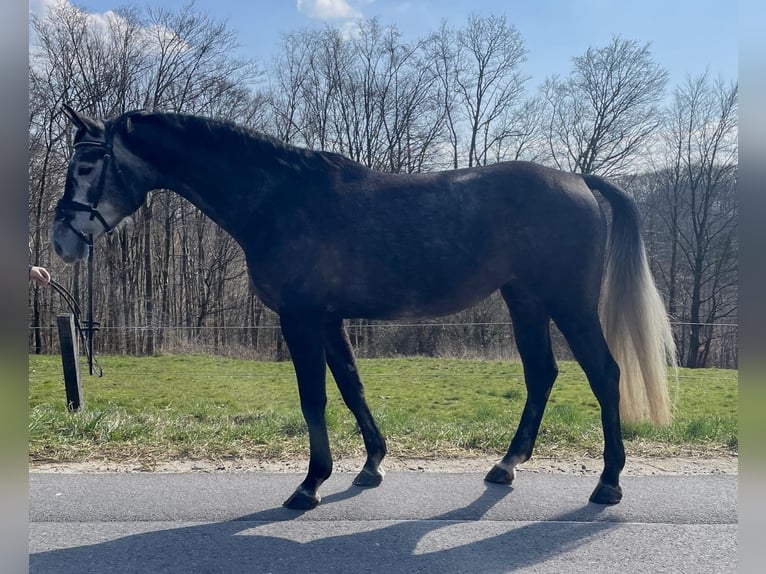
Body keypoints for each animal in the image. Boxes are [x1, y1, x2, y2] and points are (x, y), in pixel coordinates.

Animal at [52, 106, 680, 510]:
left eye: (84, 166)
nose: (61, 239)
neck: (278, 198)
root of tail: (579, 180)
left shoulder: (301, 320)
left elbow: (315, 399)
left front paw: (310, 485)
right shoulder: (328, 320)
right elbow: (352, 387)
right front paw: (371, 464)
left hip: (568, 303)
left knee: (604, 374)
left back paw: (608, 482)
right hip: (524, 299)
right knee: (542, 374)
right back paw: (507, 465)